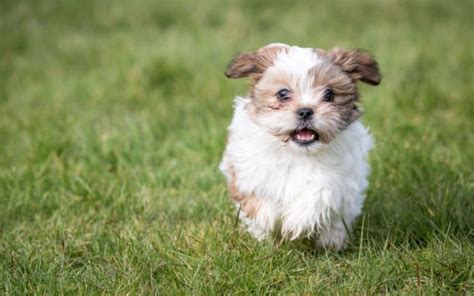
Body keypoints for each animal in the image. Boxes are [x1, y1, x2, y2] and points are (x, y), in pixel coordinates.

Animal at [219, 42, 382, 250]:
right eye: (282, 94)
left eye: (329, 94)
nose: (305, 111)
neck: (297, 153)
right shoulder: (245, 169)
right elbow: (257, 197)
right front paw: (268, 220)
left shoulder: (342, 176)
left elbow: (322, 191)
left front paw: (297, 222)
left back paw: (332, 242)